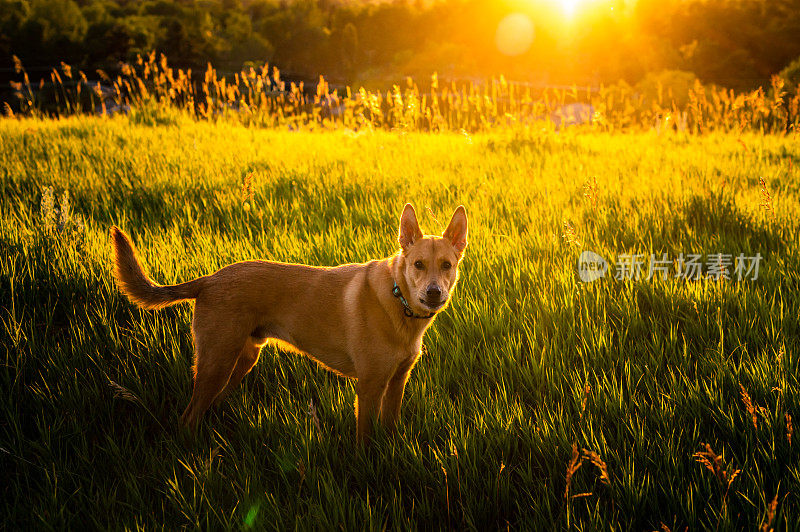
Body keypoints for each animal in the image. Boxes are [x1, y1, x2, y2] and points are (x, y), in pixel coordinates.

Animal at [109, 202, 466, 442]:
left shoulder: (397, 382)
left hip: (241, 360)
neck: (398, 299)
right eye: (418, 264)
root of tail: (210, 280)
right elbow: (365, 438)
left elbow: (390, 428)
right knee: (189, 416)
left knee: (213, 402)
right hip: (216, 361)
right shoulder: (369, 386)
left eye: (446, 265)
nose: (434, 293)